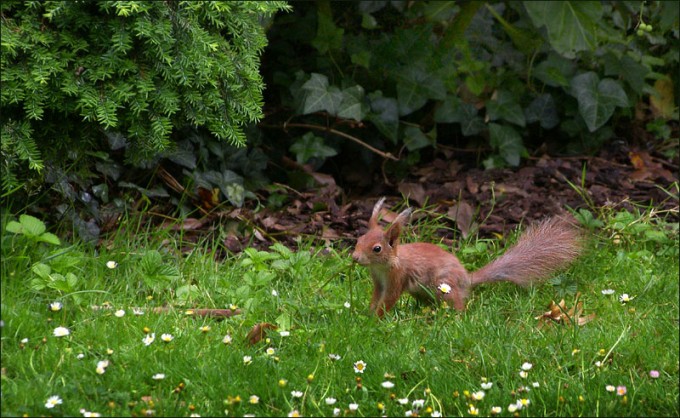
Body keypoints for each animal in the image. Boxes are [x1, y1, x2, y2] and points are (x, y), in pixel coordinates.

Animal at [352, 197, 583, 318]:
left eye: (377, 248)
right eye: (359, 238)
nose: (354, 257)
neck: (386, 265)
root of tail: (467, 280)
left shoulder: (396, 278)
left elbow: (388, 299)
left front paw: (376, 318)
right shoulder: (378, 282)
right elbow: (376, 297)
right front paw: (368, 313)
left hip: (443, 287)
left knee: (458, 305)